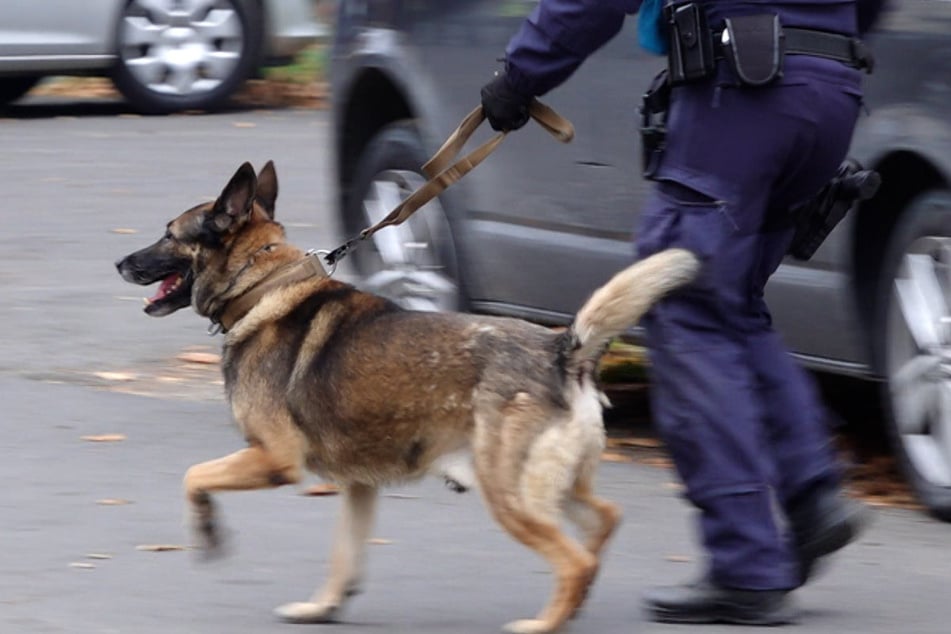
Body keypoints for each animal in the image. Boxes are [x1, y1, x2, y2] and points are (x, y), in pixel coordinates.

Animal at [117, 160, 700, 628]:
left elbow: (194, 477)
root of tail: (564, 348)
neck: (264, 287)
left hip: (509, 496)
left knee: (574, 560)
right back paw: (574, 605)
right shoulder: (357, 487)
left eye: (169, 234)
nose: (121, 263)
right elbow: (344, 558)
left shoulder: (274, 459)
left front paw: (207, 527)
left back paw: (543, 624)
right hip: (549, 490)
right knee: (602, 526)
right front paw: (323, 607)